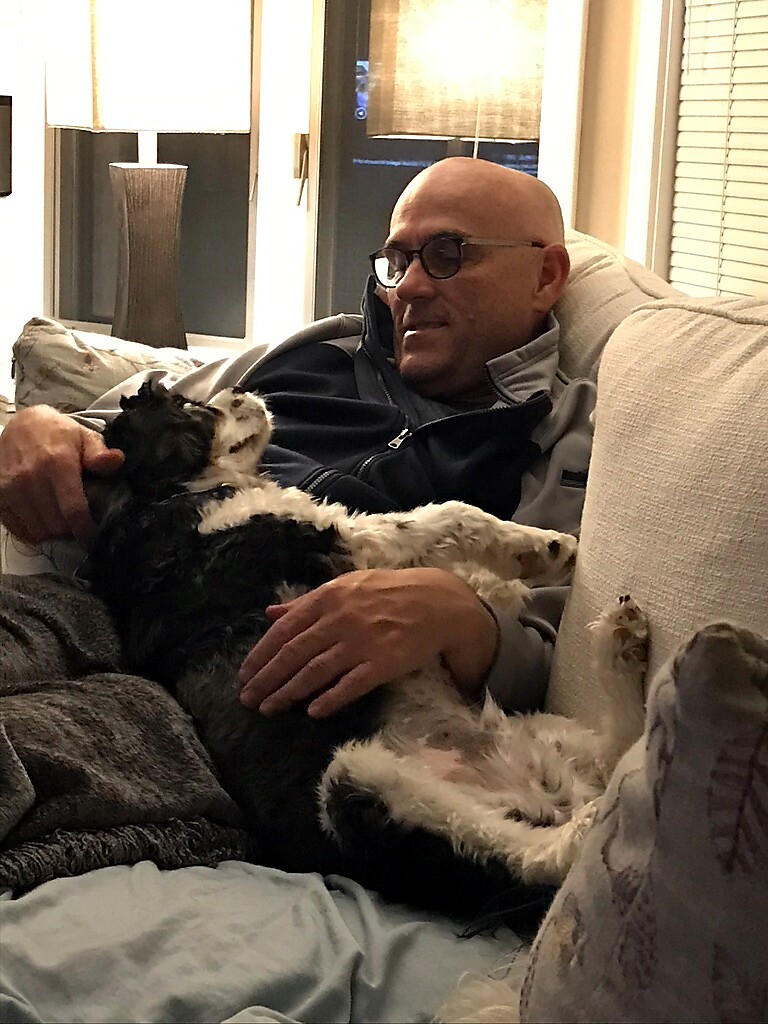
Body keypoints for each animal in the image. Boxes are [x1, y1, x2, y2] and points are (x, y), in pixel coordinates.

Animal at [84, 381, 647, 924]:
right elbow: (443, 517)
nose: (243, 393)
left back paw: (623, 648)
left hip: (539, 733)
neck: (163, 496)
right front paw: (542, 548)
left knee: (616, 748)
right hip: (358, 789)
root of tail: (547, 798)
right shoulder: (333, 543)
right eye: (187, 407)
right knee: (522, 856)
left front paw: (508, 580)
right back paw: (589, 825)